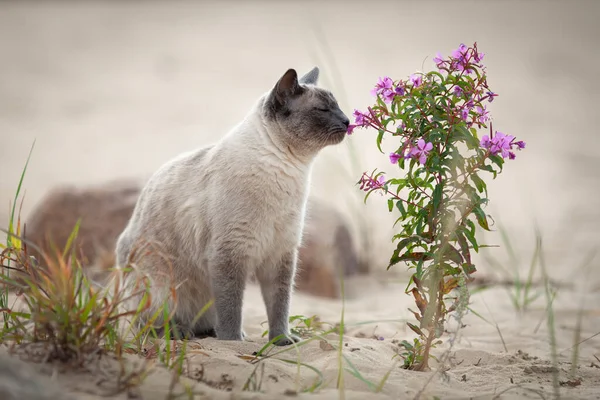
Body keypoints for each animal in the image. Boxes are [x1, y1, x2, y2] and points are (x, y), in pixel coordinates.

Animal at [115, 65, 350, 344]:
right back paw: (180, 332)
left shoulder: (279, 255)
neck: (290, 170)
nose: (348, 121)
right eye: (323, 110)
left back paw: (208, 332)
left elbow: (279, 306)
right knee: (146, 325)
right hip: (160, 285)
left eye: (337, 106)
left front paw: (280, 340)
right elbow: (231, 308)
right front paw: (232, 341)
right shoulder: (230, 252)